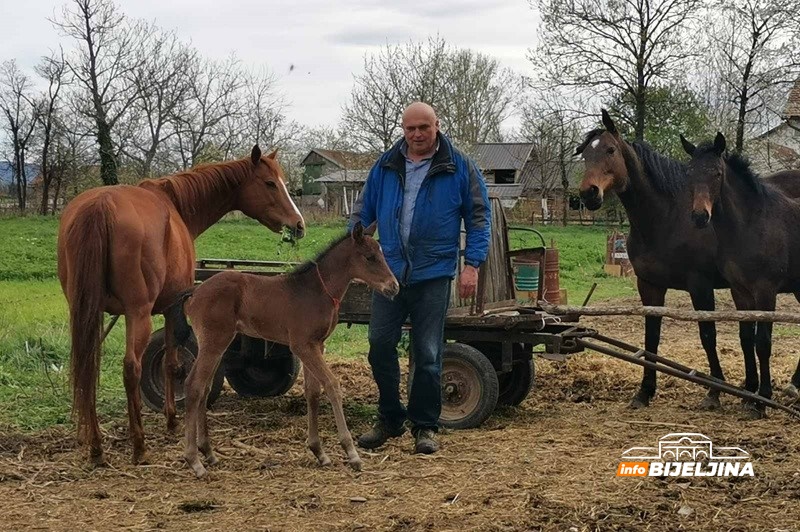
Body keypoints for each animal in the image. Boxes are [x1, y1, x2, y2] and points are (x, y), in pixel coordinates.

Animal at [57, 147, 306, 466]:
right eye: (270, 183)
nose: (298, 225)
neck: (175, 205)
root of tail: (100, 206)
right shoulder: (173, 306)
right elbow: (171, 362)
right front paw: (172, 419)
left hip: (84, 313)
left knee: (87, 365)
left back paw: (96, 447)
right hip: (137, 315)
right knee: (131, 369)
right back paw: (139, 446)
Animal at [170, 220, 400, 478]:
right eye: (370, 257)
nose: (394, 287)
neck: (317, 291)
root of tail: (195, 291)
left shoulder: (317, 345)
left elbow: (313, 392)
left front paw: (319, 452)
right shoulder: (302, 345)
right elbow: (332, 385)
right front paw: (351, 453)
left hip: (216, 344)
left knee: (205, 387)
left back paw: (208, 452)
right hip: (214, 342)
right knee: (194, 385)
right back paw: (194, 461)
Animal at [684, 132, 800, 416]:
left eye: (716, 173)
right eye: (689, 173)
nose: (700, 216)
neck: (750, 225)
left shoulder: (766, 292)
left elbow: (763, 343)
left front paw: (763, 400)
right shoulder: (741, 291)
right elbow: (746, 339)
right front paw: (748, 393)